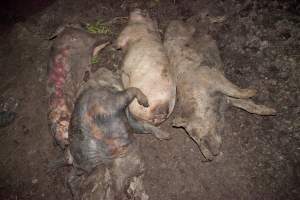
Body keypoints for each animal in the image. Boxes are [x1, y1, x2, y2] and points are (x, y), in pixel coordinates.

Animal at [164, 20, 276, 161]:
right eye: (195, 139)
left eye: (199, 134)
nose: (210, 157)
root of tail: (175, 22)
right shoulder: (226, 98)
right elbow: (246, 105)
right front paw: (272, 111)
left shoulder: (214, 77)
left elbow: (237, 92)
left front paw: (256, 94)